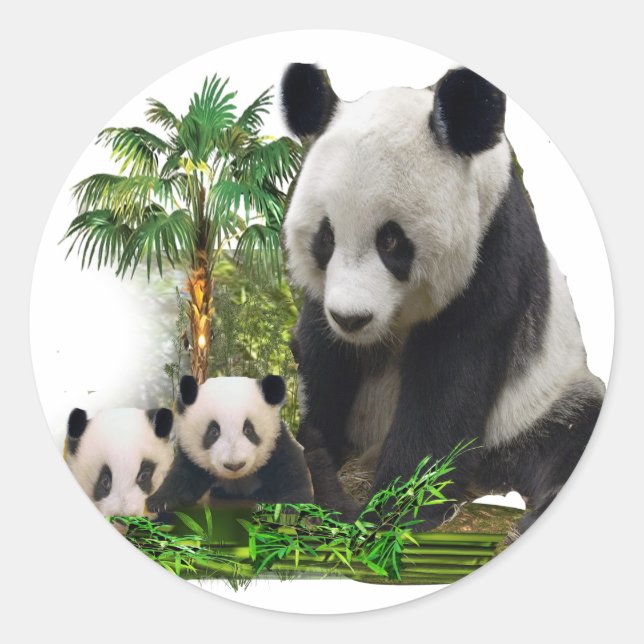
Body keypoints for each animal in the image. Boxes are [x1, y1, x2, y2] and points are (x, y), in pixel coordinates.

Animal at [146, 375, 313, 512]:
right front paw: (160, 502)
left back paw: (262, 494)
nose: (234, 466)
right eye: (213, 431)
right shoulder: (191, 450)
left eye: (248, 430)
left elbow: (289, 469)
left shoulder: (276, 440)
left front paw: (293, 505)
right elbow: (183, 475)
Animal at [280, 63, 605, 533]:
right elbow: (323, 362)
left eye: (391, 240)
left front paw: (394, 509)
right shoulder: (323, 303)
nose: (352, 318)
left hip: (539, 401)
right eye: (326, 237)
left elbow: (447, 382)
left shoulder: (489, 256)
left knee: (571, 430)